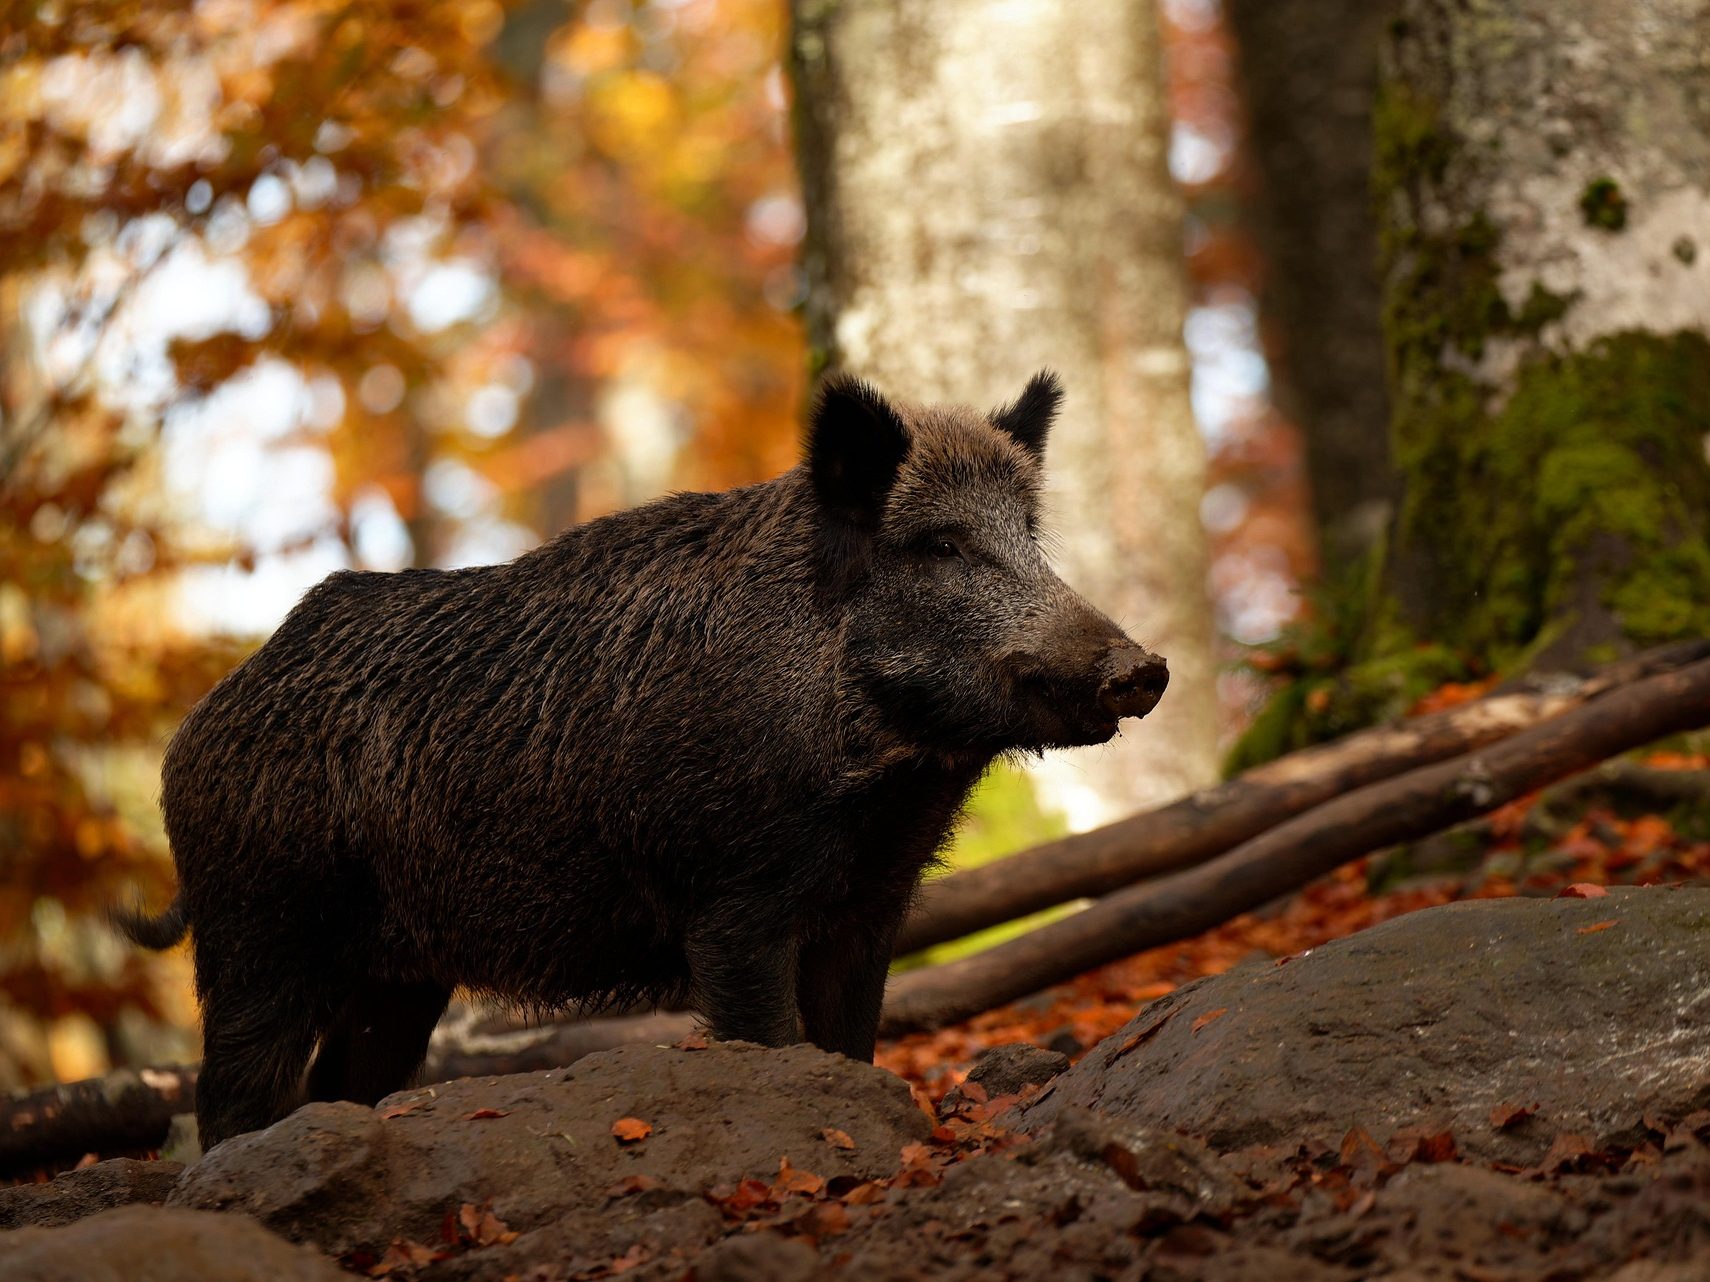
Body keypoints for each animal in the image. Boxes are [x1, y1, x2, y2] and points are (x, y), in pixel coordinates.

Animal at [117, 371, 1168, 1147]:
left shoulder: (872, 906)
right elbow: (770, 1038)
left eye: (1028, 535)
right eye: (941, 545)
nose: (1145, 668)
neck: (885, 782)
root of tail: (199, 726)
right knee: (233, 1092)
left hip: (398, 971)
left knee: (343, 1079)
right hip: (262, 924)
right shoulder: (733, 895)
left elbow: (850, 1042)